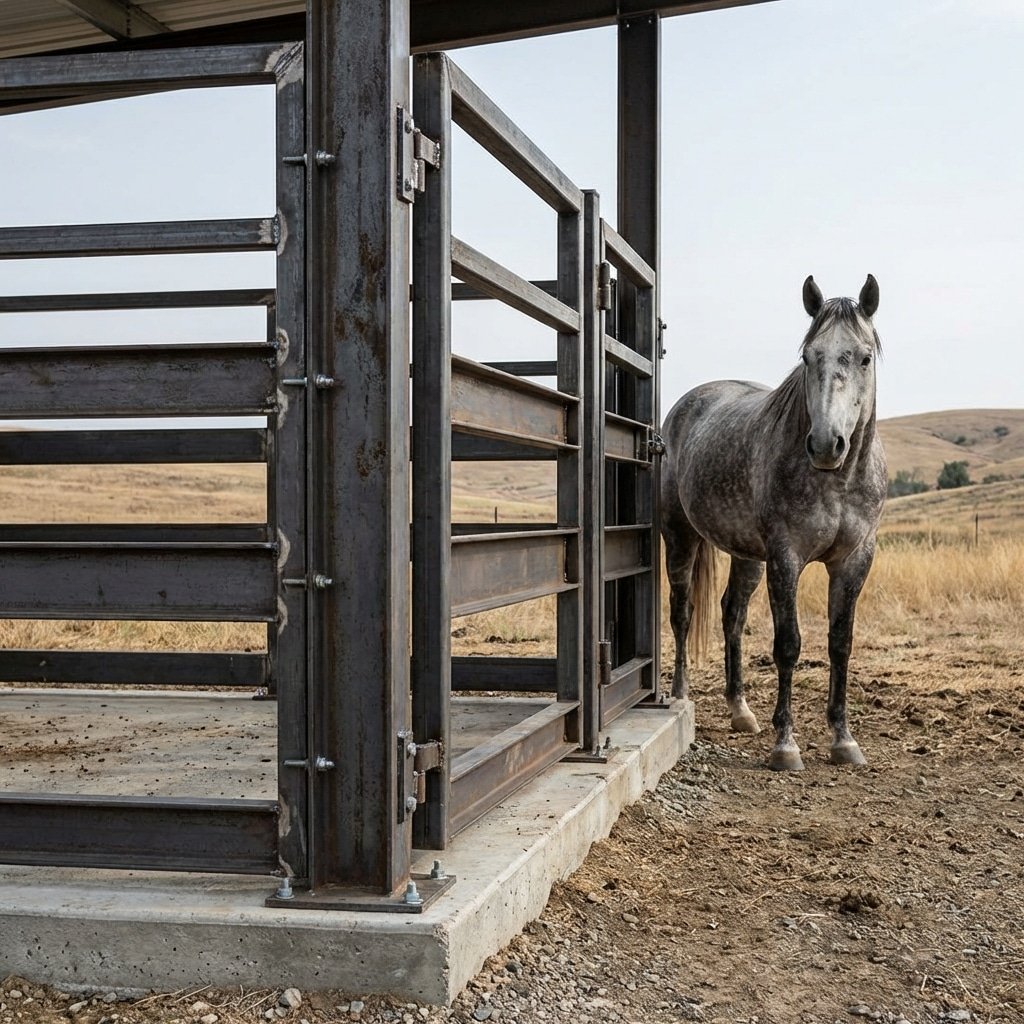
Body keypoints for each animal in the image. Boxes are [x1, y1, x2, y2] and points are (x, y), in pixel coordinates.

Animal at [660, 275, 887, 771]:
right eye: (808, 357)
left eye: (864, 357)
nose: (825, 445)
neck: (837, 481)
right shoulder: (787, 557)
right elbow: (789, 645)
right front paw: (786, 745)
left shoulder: (854, 560)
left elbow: (840, 644)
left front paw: (843, 740)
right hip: (681, 537)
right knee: (682, 612)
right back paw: (679, 697)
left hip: (747, 554)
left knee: (731, 613)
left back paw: (740, 711)